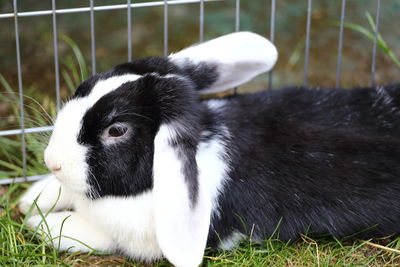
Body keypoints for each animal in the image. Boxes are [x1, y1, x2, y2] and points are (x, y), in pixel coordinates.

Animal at [18, 31, 400, 267]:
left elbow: (98, 236)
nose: (51, 161)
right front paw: (32, 199)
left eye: (117, 130)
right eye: (86, 86)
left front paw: (44, 223)